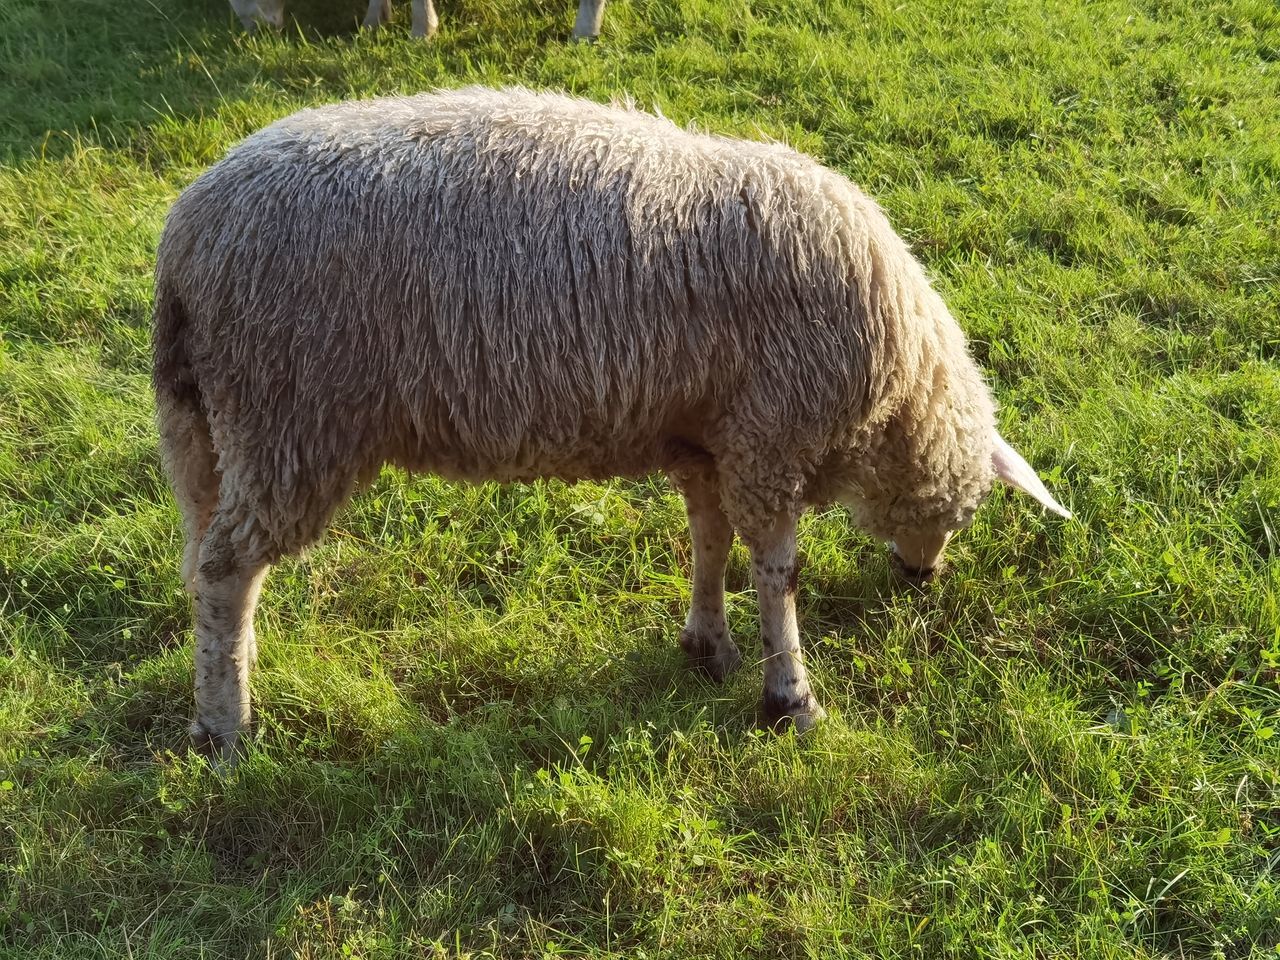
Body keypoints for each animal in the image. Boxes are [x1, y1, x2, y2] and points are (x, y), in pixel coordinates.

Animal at [149, 84, 1070, 757]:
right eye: (970, 509)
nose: (924, 577)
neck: (897, 393)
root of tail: (186, 237)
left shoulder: (707, 438)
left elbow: (709, 539)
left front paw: (708, 643)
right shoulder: (770, 437)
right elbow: (777, 572)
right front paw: (790, 697)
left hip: (207, 426)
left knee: (205, 561)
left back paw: (232, 670)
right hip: (291, 418)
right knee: (227, 567)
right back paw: (224, 727)